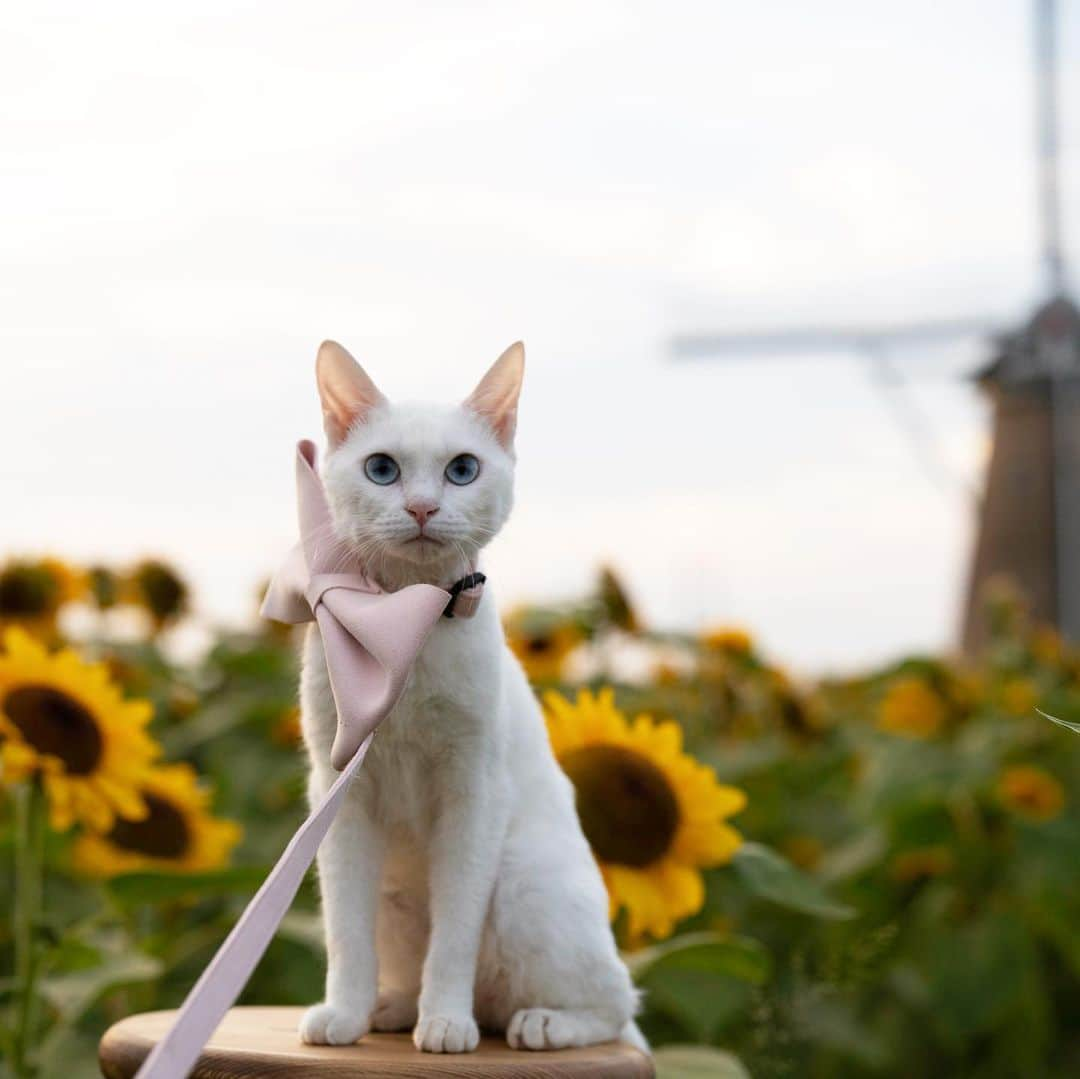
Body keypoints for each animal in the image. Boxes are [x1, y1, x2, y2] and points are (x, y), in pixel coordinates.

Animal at [295, 339, 643, 1054]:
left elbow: (453, 933)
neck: (406, 622)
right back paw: (390, 1008)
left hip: (522, 886)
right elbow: (345, 932)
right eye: (382, 469)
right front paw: (343, 1013)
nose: (424, 507)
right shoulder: (339, 793)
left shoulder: (473, 794)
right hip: (396, 900)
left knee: (614, 1004)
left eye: (462, 470)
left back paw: (536, 1023)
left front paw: (446, 1021)